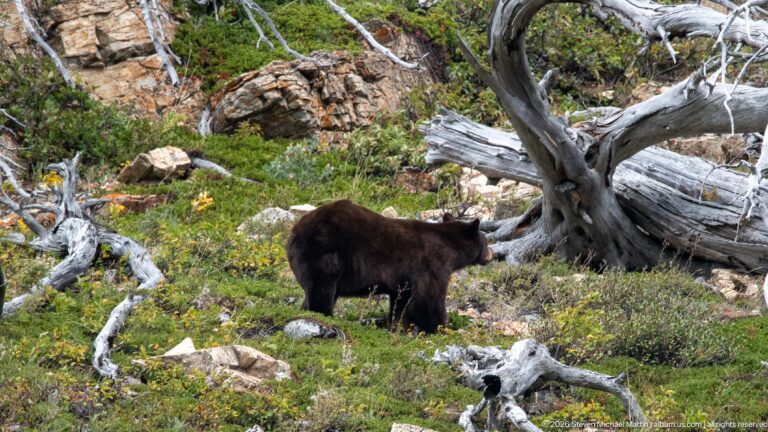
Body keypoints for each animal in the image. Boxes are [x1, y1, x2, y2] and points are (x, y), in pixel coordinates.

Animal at [286, 200, 494, 333]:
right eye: (486, 241)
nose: (492, 255)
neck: (450, 248)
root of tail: (294, 231)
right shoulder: (431, 265)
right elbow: (430, 297)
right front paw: (443, 327)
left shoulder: (404, 281)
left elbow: (401, 302)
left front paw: (399, 326)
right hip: (325, 253)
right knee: (322, 288)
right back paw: (324, 315)